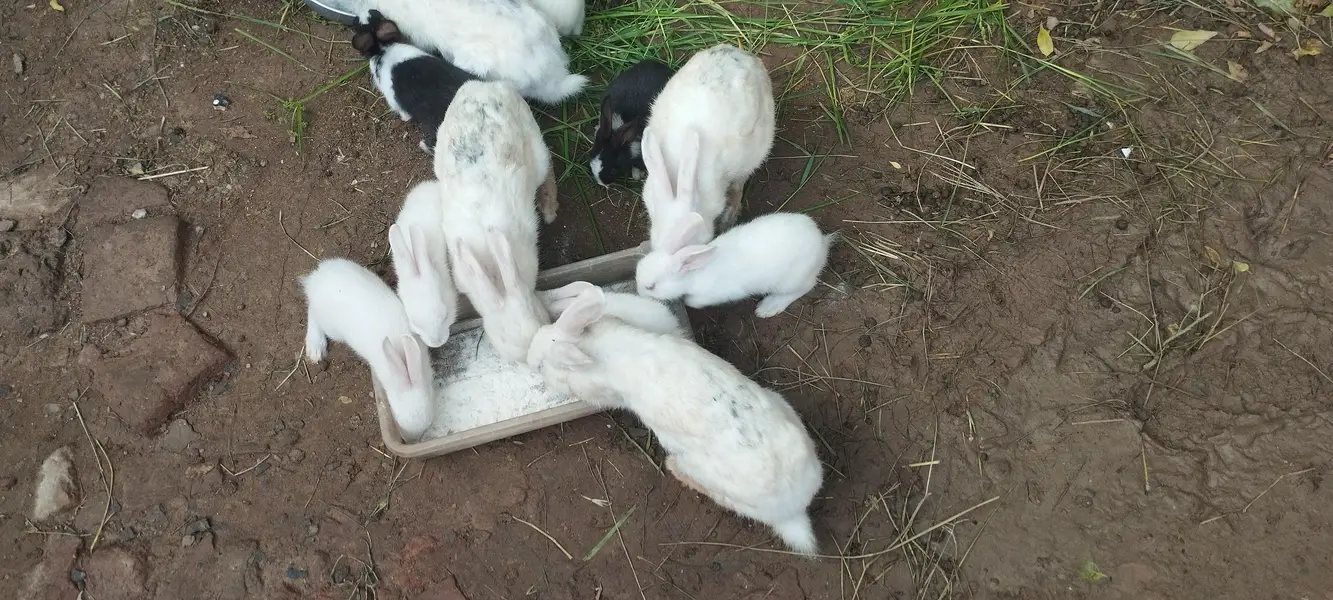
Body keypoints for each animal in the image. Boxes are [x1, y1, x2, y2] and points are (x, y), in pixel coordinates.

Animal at [300, 258, 435, 441]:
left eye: (427, 427)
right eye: (396, 420)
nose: (409, 440)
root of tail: (316, 277)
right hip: (330, 326)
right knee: (312, 313)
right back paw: (315, 349)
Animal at [351, 11, 478, 154]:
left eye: (356, 23)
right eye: (375, 14)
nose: (357, 16)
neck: (383, 49)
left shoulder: (393, 100)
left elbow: (404, 113)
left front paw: (404, 118)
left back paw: (423, 145)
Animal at [526, 287, 823, 554]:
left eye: (540, 365)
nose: (532, 364)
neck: (591, 347)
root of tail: (795, 506)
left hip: (709, 476)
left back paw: (672, 466)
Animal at [636, 212, 832, 318]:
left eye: (651, 287)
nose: (639, 292)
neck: (694, 273)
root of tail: (822, 242)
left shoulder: (715, 294)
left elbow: (695, 301)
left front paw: (687, 301)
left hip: (792, 280)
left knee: (804, 288)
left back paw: (768, 307)